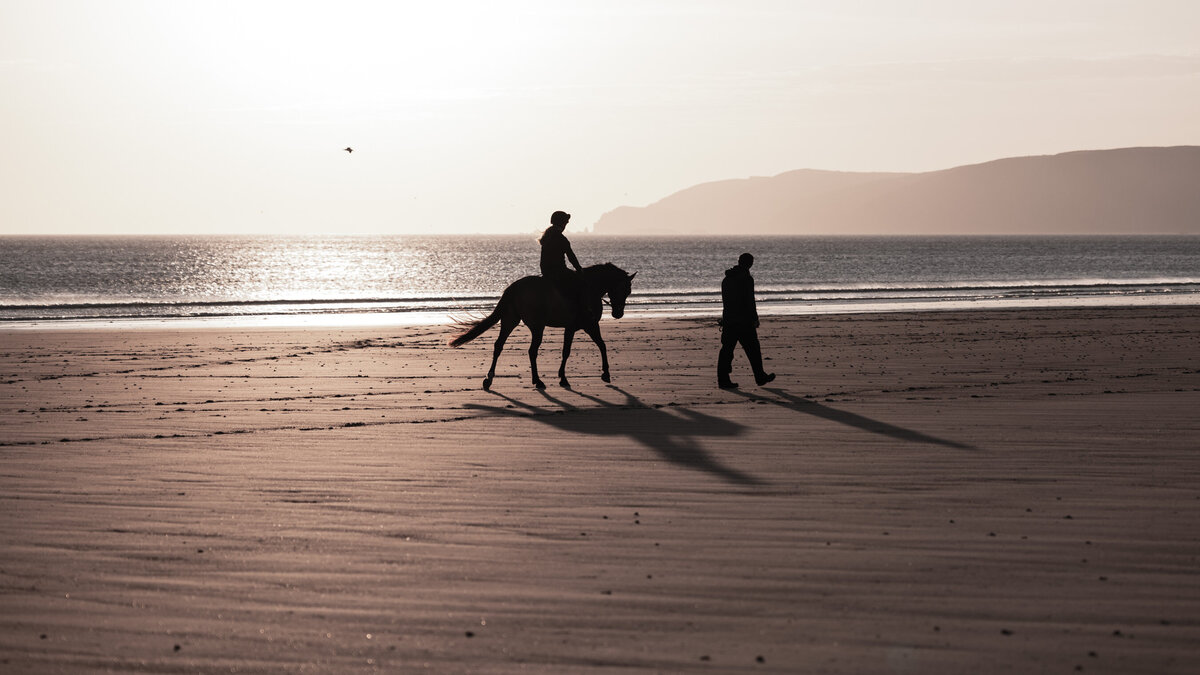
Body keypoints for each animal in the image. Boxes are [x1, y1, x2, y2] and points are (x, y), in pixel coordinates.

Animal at [450, 263, 636, 390]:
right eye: (625, 290)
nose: (618, 313)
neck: (590, 288)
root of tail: (515, 287)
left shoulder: (573, 328)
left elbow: (574, 350)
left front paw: (563, 377)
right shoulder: (588, 325)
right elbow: (598, 346)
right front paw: (605, 374)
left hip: (510, 320)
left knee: (499, 346)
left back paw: (489, 379)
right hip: (537, 327)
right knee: (532, 351)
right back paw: (537, 381)